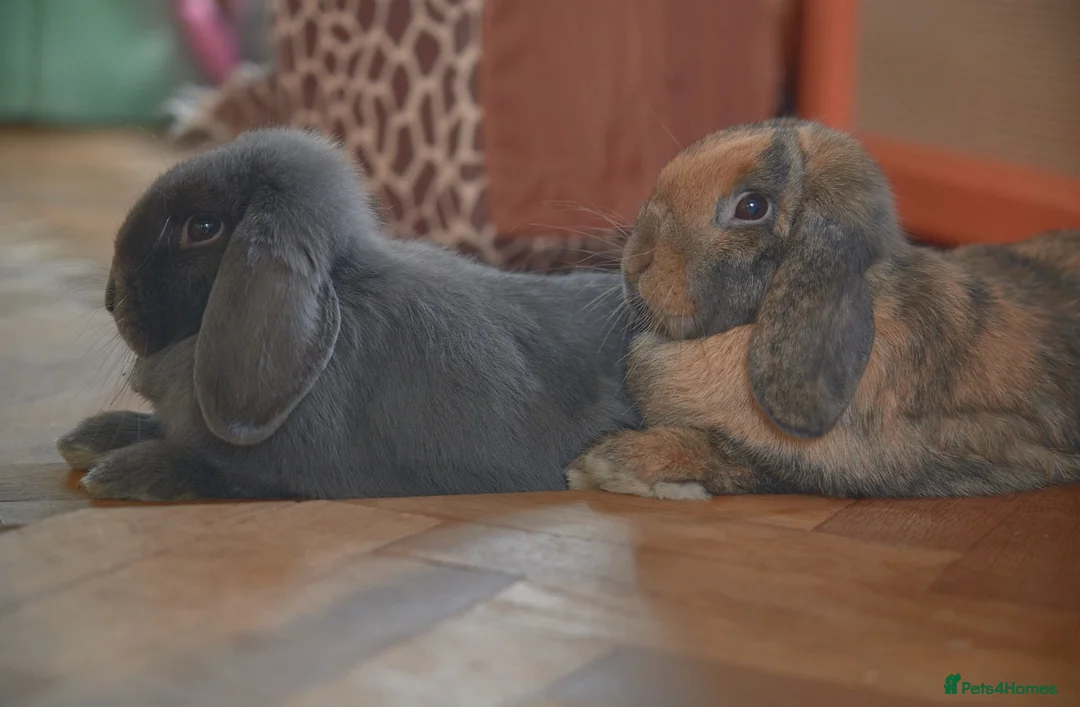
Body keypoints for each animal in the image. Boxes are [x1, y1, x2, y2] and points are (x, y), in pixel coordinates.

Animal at [56, 127, 640, 501]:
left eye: (202, 228)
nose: (110, 296)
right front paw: (89, 437)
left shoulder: (307, 475)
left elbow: (223, 473)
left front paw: (120, 473)